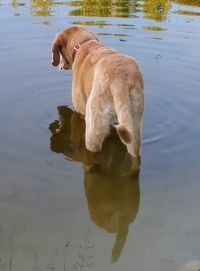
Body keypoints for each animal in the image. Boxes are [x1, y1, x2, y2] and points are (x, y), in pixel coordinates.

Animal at [51, 26, 144, 158]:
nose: (59, 65)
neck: (83, 44)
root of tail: (119, 82)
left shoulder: (80, 108)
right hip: (134, 127)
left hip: (93, 128)